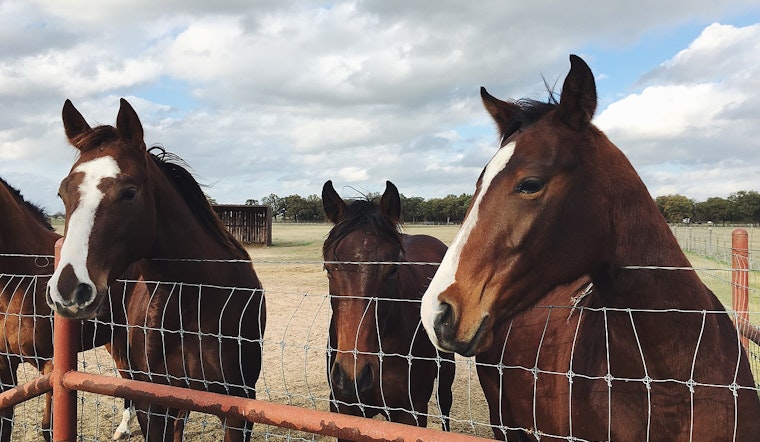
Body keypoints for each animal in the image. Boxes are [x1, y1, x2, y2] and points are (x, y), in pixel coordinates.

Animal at [46, 98, 267, 442]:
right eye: (63, 193)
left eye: (129, 192)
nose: (69, 289)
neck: (198, 300)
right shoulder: (154, 404)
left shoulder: (238, 409)